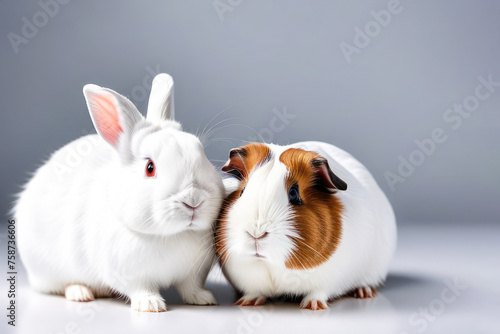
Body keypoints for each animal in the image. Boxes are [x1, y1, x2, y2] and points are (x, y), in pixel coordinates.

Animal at [15, 73, 224, 314]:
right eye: (150, 168)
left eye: (202, 154)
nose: (193, 200)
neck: (173, 235)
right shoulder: (131, 275)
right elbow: (141, 289)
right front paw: (151, 305)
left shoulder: (193, 274)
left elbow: (191, 287)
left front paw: (204, 298)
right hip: (49, 270)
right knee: (63, 285)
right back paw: (81, 293)